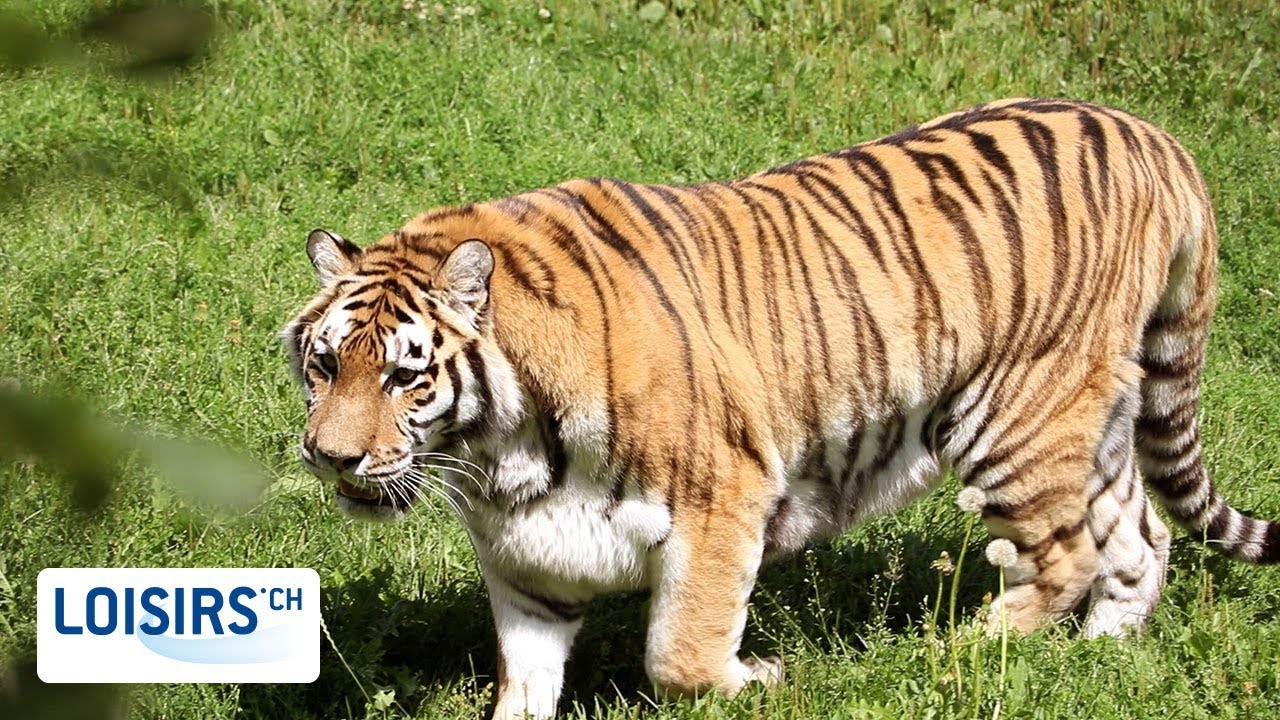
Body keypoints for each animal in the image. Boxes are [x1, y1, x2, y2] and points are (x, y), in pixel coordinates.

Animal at [284, 98, 1280, 719]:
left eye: (405, 379)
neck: (502, 453)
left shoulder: (722, 498)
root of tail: (1153, 136)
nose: (331, 458)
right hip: (1093, 416)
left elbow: (679, 655)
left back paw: (951, 651)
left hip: (1015, 416)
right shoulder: (529, 559)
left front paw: (763, 677)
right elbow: (523, 685)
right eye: (326, 366)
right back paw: (1095, 662)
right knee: (1139, 543)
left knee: (1065, 556)